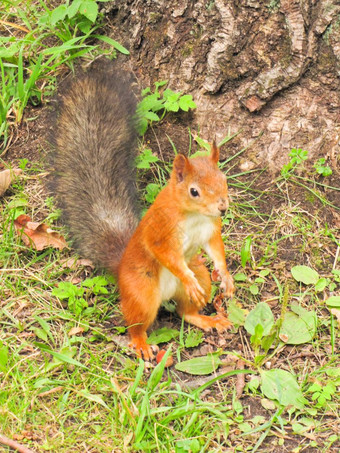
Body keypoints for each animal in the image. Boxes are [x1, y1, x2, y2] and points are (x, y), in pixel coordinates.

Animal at [50, 64, 235, 360]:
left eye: (224, 179)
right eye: (194, 191)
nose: (223, 206)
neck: (194, 216)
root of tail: (121, 265)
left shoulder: (210, 228)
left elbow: (216, 249)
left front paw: (226, 276)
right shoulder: (161, 228)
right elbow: (163, 252)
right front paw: (188, 276)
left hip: (201, 276)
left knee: (186, 312)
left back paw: (207, 319)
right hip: (142, 292)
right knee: (136, 324)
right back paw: (141, 344)